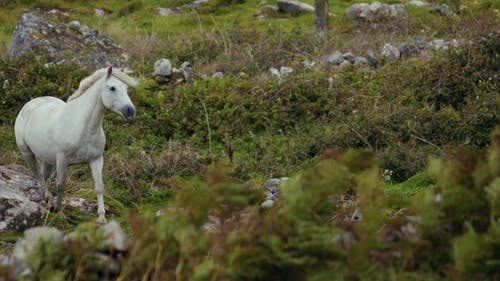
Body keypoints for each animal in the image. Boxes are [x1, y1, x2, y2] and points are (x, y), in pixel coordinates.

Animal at [14, 66, 138, 222]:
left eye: (126, 88)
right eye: (112, 88)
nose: (130, 111)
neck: (83, 127)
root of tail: (29, 105)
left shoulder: (96, 159)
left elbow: (99, 186)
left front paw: (101, 217)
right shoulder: (63, 159)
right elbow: (61, 185)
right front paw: (60, 213)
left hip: (48, 160)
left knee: (43, 176)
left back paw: (47, 201)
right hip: (27, 154)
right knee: (38, 176)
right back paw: (51, 202)